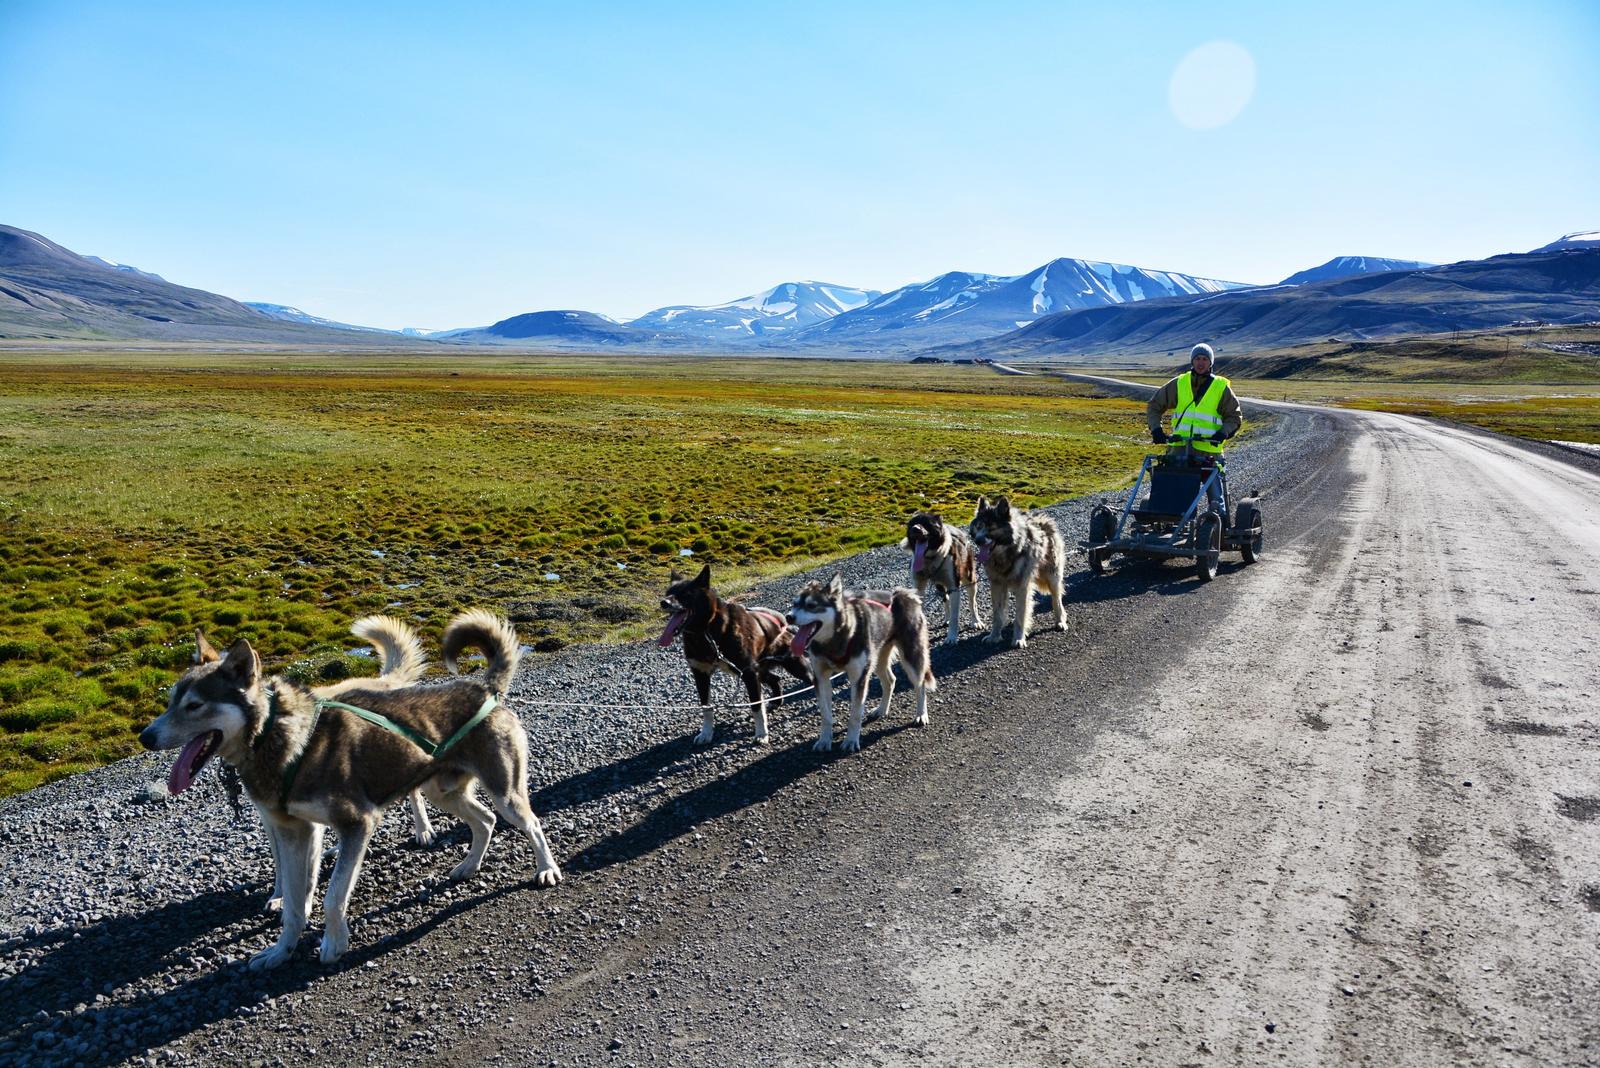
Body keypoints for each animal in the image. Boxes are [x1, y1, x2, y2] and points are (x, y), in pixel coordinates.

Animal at [139, 607, 563, 965]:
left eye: (194, 705)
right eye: (171, 701)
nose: (145, 736)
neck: (279, 739)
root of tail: (484, 689)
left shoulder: (356, 825)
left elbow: (332, 897)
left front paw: (333, 943)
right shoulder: (295, 832)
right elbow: (293, 904)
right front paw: (280, 951)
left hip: (505, 792)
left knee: (530, 824)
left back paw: (546, 870)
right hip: (443, 792)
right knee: (486, 820)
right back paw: (469, 865)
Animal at [659, 562, 812, 748]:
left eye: (685, 594)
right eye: (668, 593)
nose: (663, 602)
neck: (706, 632)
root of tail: (783, 624)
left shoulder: (748, 673)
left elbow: (756, 707)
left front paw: (762, 733)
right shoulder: (700, 674)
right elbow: (706, 708)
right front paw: (706, 733)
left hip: (791, 666)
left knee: (812, 678)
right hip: (759, 671)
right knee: (776, 679)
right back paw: (776, 701)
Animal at [787, 575, 934, 751]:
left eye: (811, 606)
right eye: (794, 604)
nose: (788, 617)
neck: (835, 641)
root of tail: (901, 593)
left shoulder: (858, 678)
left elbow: (855, 715)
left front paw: (851, 740)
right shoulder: (821, 678)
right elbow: (826, 715)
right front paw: (824, 740)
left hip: (911, 659)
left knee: (920, 686)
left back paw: (921, 714)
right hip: (877, 660)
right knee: (890, 681)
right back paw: (882, 709)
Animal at [908, 508, 979, 642]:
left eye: (927, 523)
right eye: (912, 523)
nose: (915, 528)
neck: (930, 558)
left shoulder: (954, 587)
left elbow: (955, 616)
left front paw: (951, 636)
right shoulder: (919, 586)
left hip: (970, 579)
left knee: (972, 602)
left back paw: (976, 621)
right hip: (940, 586)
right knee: (946, 600)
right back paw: (946, 618)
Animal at [966, 495, 1068, 652]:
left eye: (992, 528)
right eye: (979, 526)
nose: (978, 540)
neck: (1005, 555)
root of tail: (1044, 519)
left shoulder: (1023, 587)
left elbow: (1020, 615)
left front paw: (1019, 638)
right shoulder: (997, 585)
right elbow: (997, 615)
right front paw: (994, 636)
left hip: (1053, 577)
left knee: (1057, 600)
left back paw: (1060, 621)